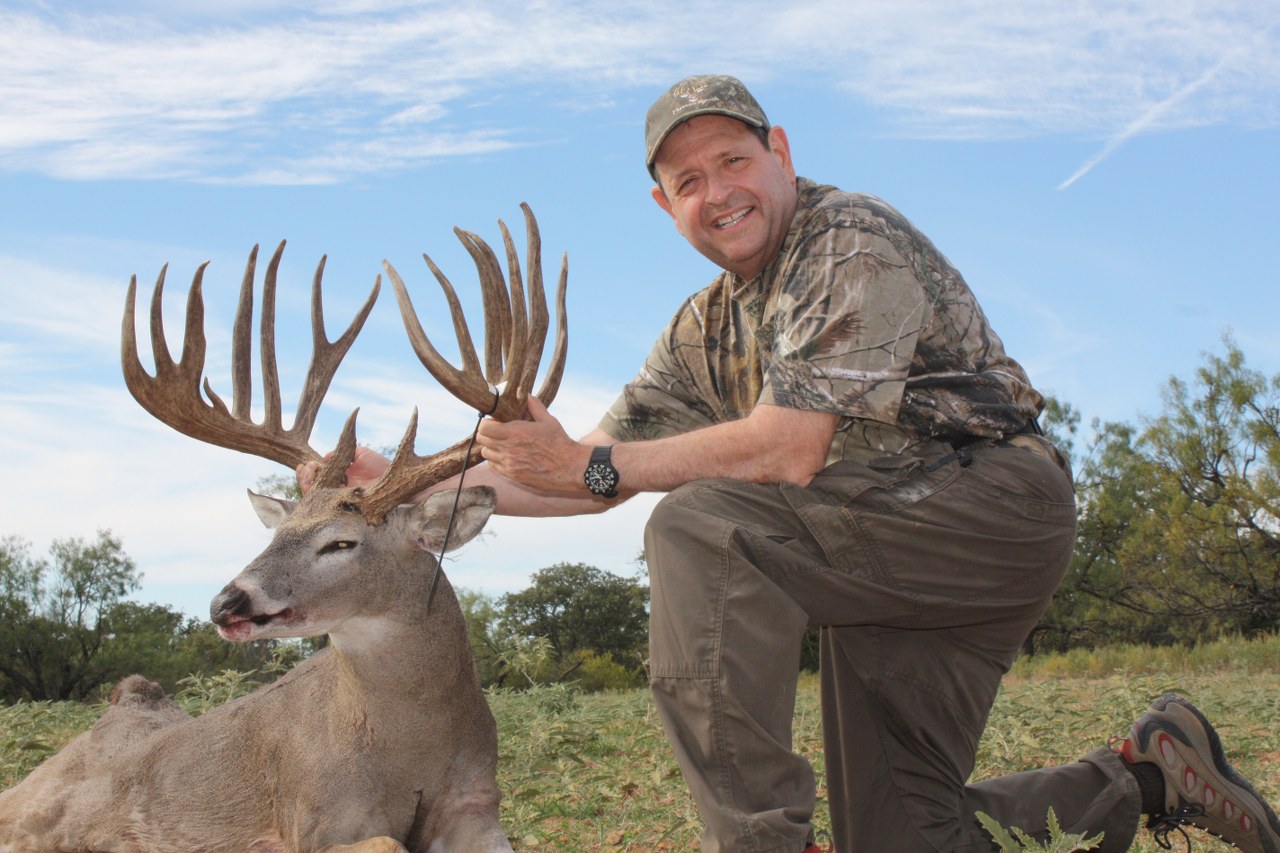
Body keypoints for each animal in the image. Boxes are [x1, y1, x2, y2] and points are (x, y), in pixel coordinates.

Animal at [0, 204, 565, 850]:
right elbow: (390, 840)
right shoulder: (310, 822)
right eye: (275, 534)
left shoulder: (476, 800)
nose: (225, 603)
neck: (411, 753)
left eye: (340, 542)